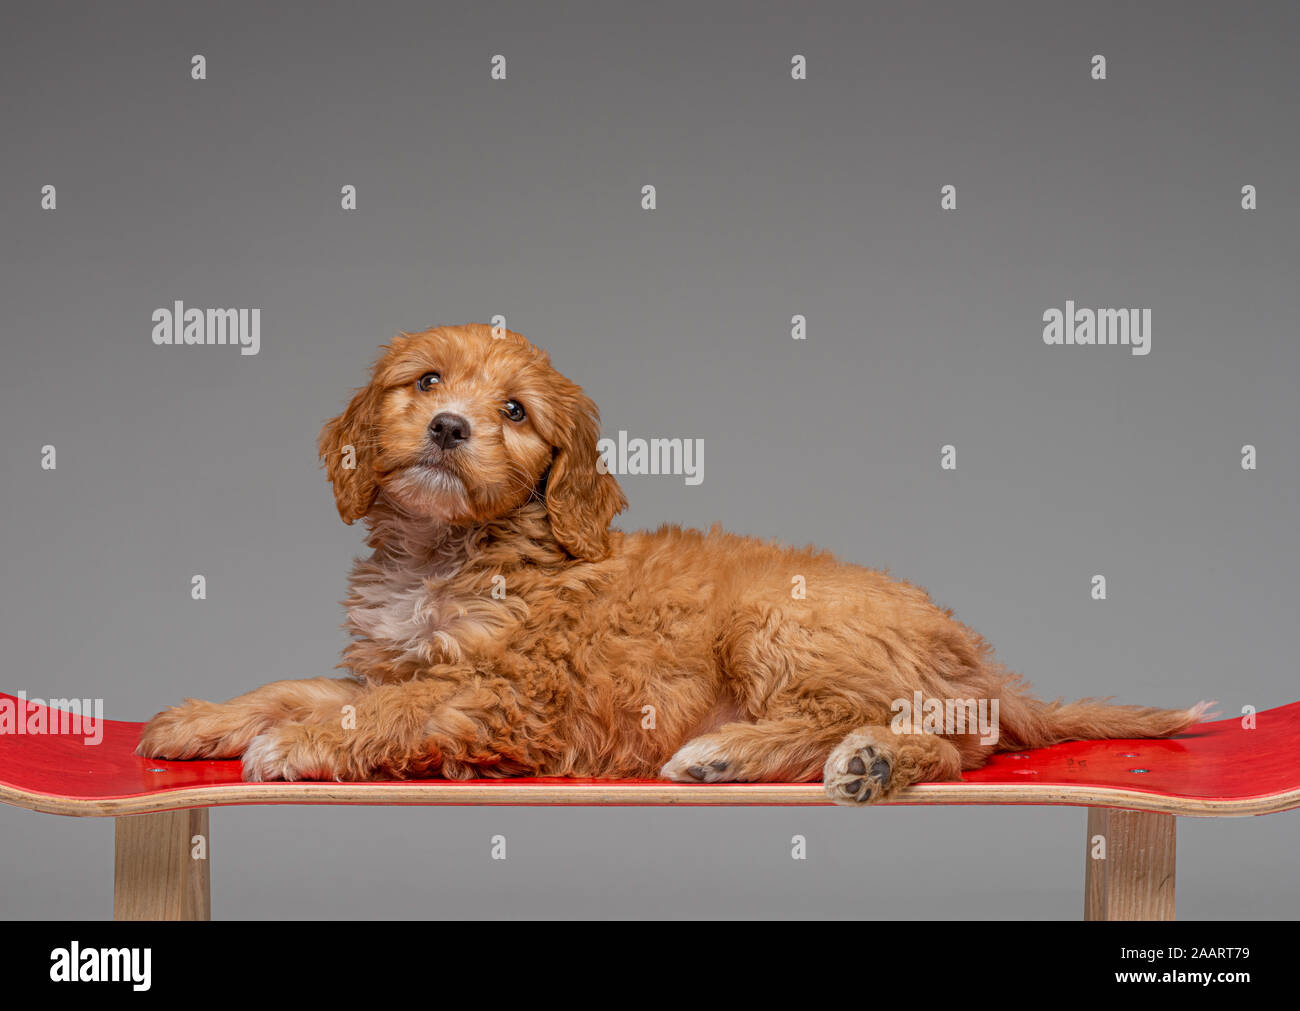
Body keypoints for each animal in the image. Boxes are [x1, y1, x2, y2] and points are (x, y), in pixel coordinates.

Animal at [134, 323, 1206, 805]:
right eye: (426, 382)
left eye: (514, 411)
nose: (449, 428)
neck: (449, 550)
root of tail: (984, 662)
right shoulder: (397, 660)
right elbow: (301, 686)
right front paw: (204, 719)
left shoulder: (506, 697)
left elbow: (381, 714)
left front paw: (294, 745)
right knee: (953, 741)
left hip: (781, 621)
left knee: (907, 727)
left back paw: (757, 752)